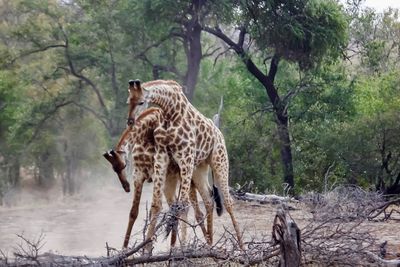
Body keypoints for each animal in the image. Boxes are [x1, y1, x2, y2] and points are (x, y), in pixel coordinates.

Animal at [101, 107, 217, 249]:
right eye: (114, 169)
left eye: (124, 165)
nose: (126, 187)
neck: (145, 136)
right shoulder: (138, 175)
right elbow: (134, 212)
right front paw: (125, 248)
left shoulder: (157, 173)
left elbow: (156, 208)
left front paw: (147, 246)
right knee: (179, 206)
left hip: (187, 176)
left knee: (195, 208)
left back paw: (201, 243)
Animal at [126, 79, 244, 249]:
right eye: (128, 101)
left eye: (142, 102)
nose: (130, 121)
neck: (169, 112)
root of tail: (219, 133)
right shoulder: (161, 157)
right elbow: (156, 205)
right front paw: (147, 248)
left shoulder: (185, 157)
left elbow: (182, 205)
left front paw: (177, 249)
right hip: (199, 169)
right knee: (208, 199)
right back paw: (209, 245)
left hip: (219, 162)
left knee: (228, 202)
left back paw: (241, 247)